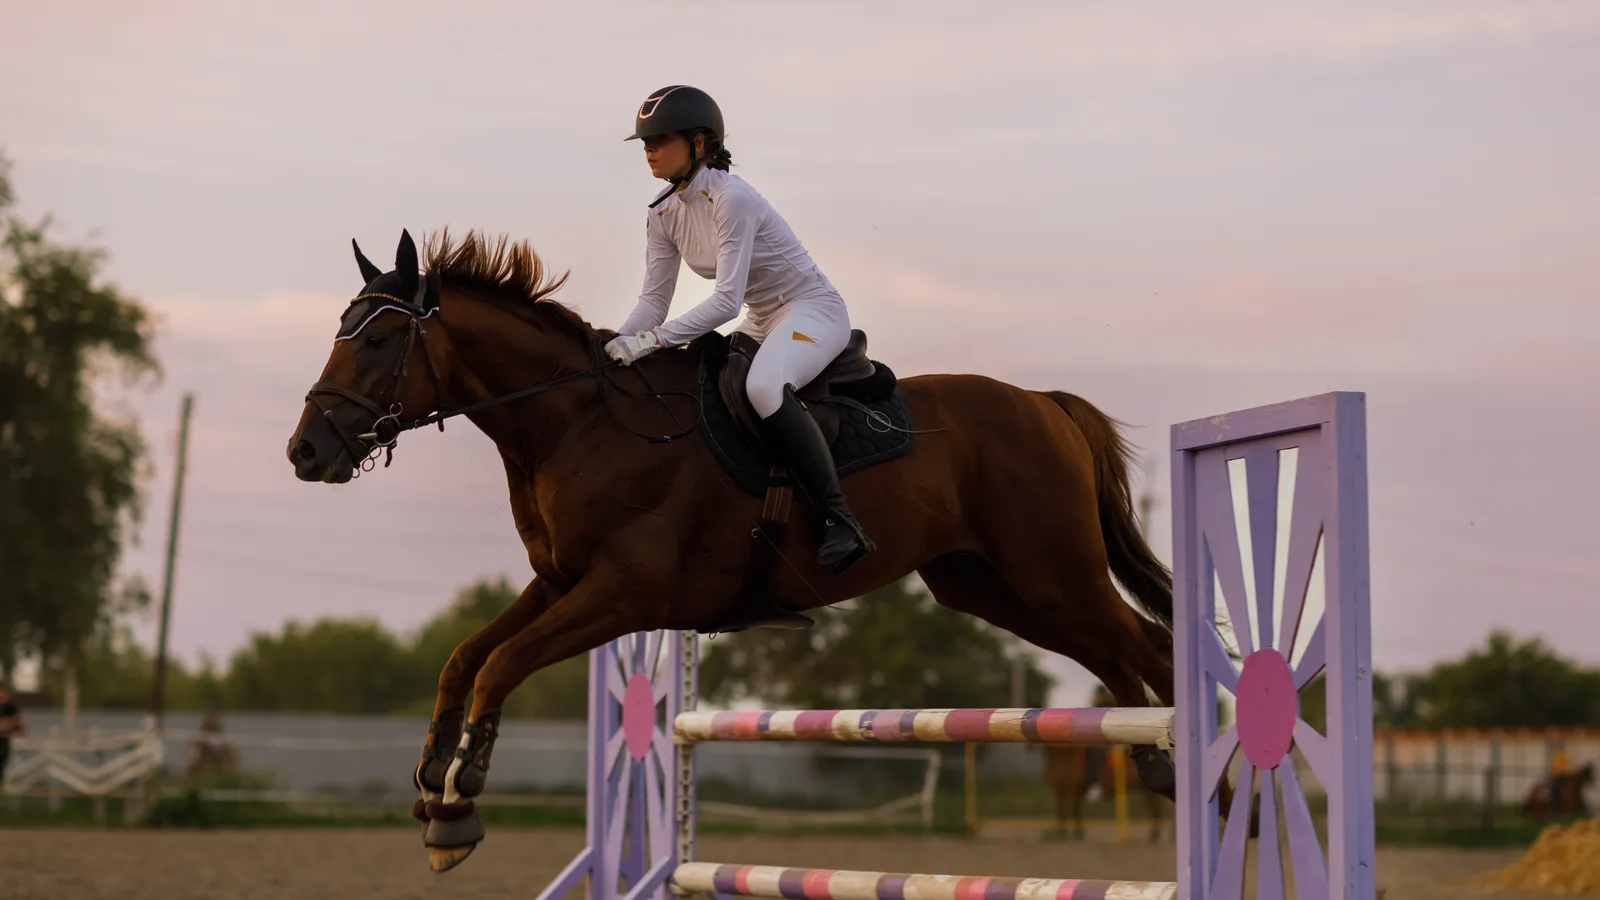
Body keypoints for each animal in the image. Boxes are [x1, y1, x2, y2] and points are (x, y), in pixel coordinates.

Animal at [284, 228, 1239, 872]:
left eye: (377, 339)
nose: (305, 452)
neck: (578, 424)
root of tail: (1044, 403)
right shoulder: (559, 582)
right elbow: (463, 659)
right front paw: (429, 780)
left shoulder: (623, 595)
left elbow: (498, 667)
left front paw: (456, 809)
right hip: (994, 587)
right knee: (1114, 651)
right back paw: (1160, 762)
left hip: (1051, 570)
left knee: (1148, 642)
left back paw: (1216, 788)